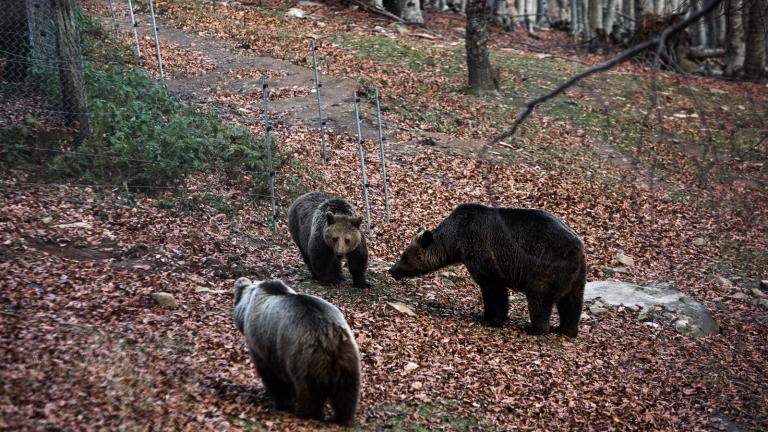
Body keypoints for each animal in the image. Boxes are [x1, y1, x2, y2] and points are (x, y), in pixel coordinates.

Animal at [232, 276, 362, 426]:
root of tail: (328, 335)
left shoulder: (263, 344)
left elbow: (272, 377)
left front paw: (281, 403)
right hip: (347, 356)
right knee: (346, 392)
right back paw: (343, 419)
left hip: (305, 357)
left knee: (310, 391)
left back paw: (307, 414)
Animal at [390, 203, 588, 338]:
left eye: (404, 256)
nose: (392, 270)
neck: (456, 240)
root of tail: (579, 247)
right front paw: (485, 315)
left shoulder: (481, 248)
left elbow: (494, 288)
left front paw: (493, 319)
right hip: (577, 274)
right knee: (572, 301)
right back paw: (565, 329)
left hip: (547, 265)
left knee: (540, 298)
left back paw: (535, 328)